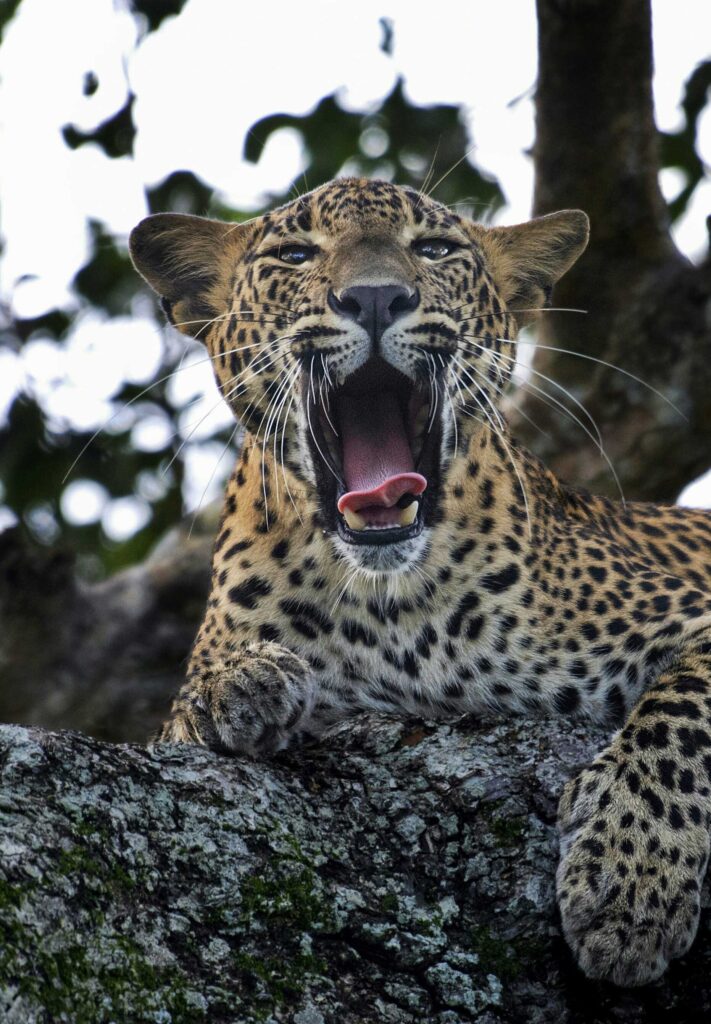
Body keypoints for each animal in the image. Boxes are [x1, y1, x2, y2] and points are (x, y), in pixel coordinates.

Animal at [131, 180, 711, 987]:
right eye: (295, 255)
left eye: (434, 250)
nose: (375, 298)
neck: (392, 606)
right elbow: (188, 707)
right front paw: (237, 687)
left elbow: (675, 721)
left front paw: (631, 881)